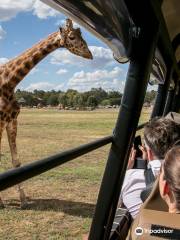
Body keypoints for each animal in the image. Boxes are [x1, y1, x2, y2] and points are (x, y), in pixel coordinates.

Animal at [0, 18, 93, 207]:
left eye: (81, 34)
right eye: (72, 37)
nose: (90, 54)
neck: (9, 82)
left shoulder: (12, 121)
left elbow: (16, 162)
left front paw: (23, 200)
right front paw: (2, 203)